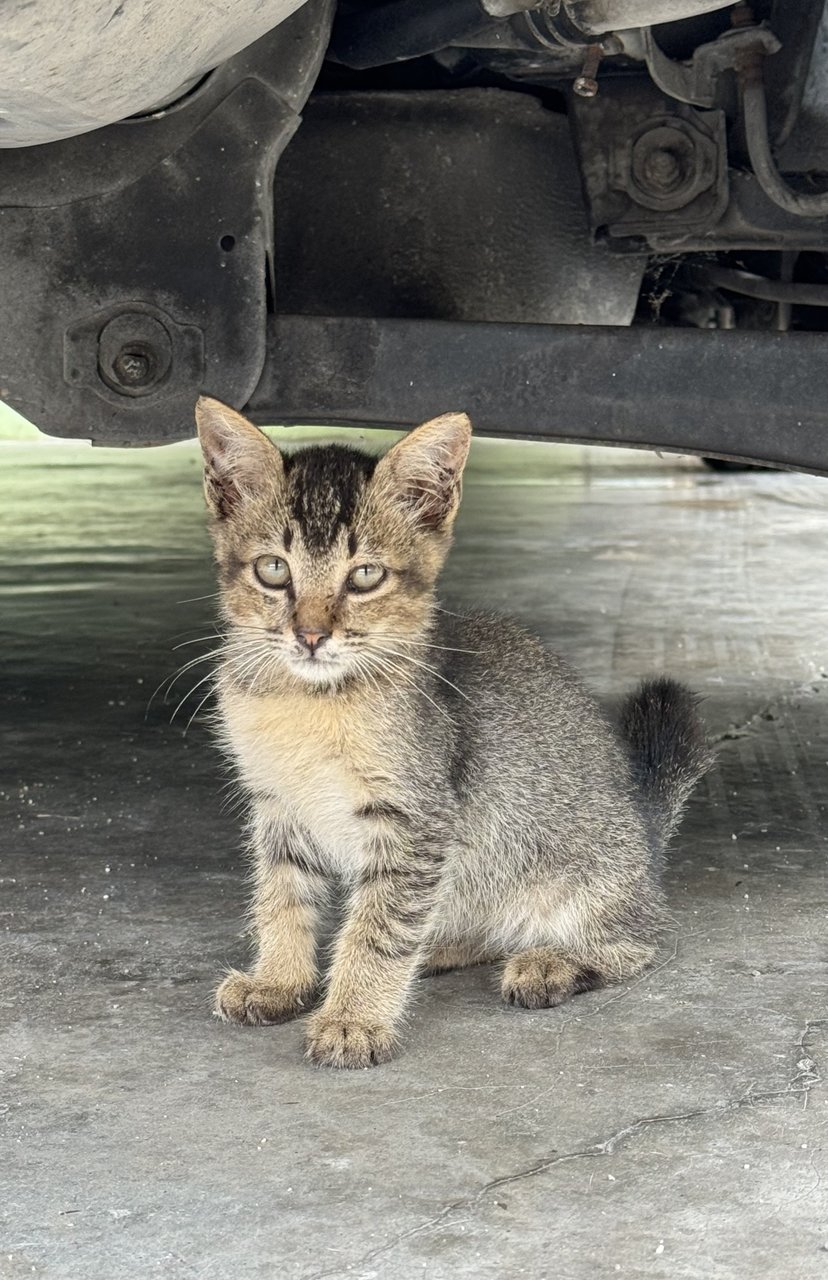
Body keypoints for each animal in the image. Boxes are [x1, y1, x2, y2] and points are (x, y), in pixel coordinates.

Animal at [195, 396, 711, 1070]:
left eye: (365, 576)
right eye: (273, 569)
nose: (310, 636)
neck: (309, 702)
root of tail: (645, 836)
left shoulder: (415, 820)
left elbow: (379, 928)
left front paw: (353, 1018)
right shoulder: (278, 806)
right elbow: (283, 898)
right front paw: (279, 982)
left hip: (586, 879)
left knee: (639, 942)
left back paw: (551, 963)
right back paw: (444, 946)